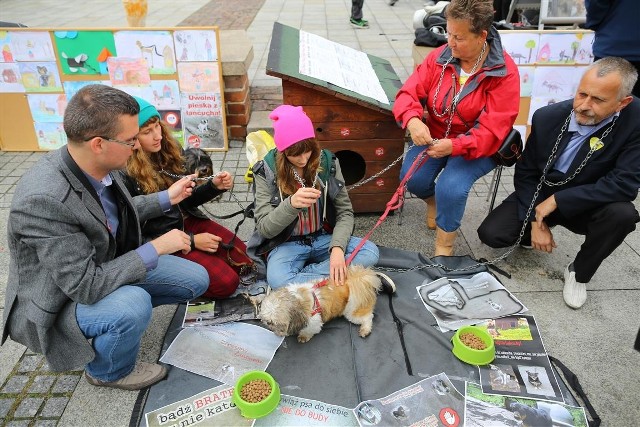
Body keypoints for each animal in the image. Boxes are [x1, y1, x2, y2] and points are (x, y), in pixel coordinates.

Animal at [255, 268, 396, 344]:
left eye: (276, 322)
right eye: (266, 320)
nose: (267, 324)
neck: (298, 301)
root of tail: (359, 280)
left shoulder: (314, 321)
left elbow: (309, 330)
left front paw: (303, 336)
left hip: (352, 312)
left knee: (368, 317)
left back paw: (365, 330)